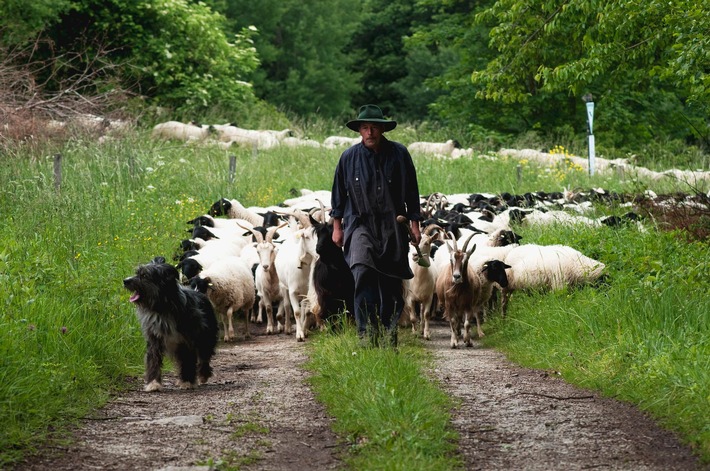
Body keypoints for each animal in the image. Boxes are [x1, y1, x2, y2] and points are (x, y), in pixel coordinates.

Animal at [123, 258, 217, 390]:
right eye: (137, 273)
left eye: (145, 275)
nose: (125, 281)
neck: (162, 309)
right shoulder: (154, 340)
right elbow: (153, 361)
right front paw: (153, 383)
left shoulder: (186, 340)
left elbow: (189, 361)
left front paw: (187, 381)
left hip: (206, 337)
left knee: (204, 358)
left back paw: (203, 376)